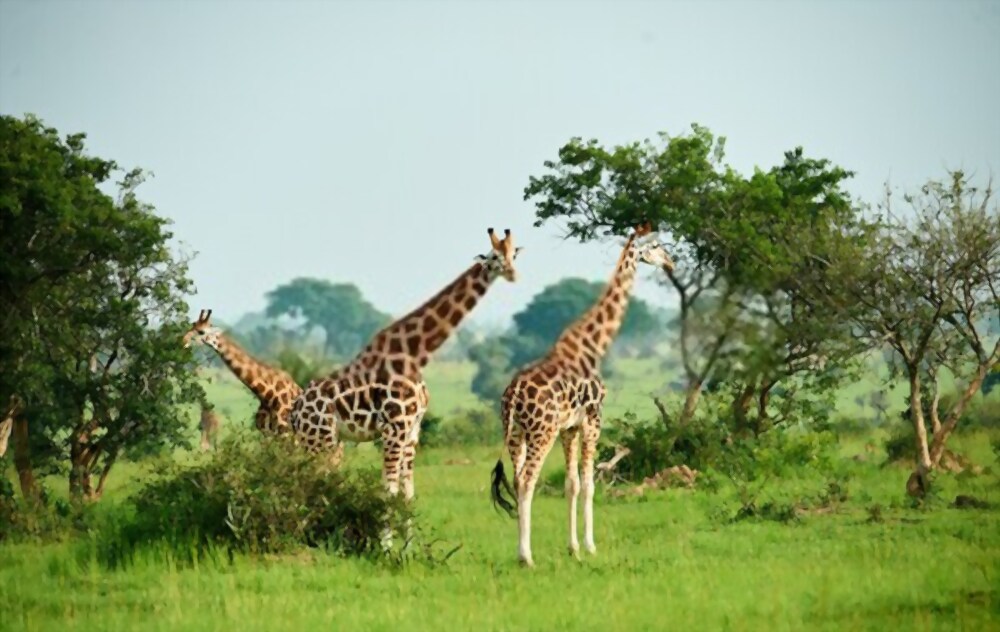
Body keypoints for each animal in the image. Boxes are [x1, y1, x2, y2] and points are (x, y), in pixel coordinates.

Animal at [183, 309, 307, 438]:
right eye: (193, 325)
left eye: (201, 331)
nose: (183, 341)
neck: (268, 396)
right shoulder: (266, 434)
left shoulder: (286, 433)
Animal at [291, 228, 522, 505]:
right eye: (494, 256)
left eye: (514, 255)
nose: (512, 274)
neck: (415, 355)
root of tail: (295, 410)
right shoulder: (394, 428)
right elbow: (389, 492)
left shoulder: (412, 431)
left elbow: (407, 493)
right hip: (319, 438)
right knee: (308, 485)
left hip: (329, 440)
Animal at [490, 224, 674, 567]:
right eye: (656, 246)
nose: (671, 263)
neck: (593, 345)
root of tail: (514, 395)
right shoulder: (592, 420)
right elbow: (589, 484)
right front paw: (590, 546)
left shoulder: (570, 427)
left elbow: (571, 484)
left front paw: (573, 548)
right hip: (541, 431)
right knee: (527, 481)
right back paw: (526, 557)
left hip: (515, 433)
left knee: (517, 479)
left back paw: (520, 551)